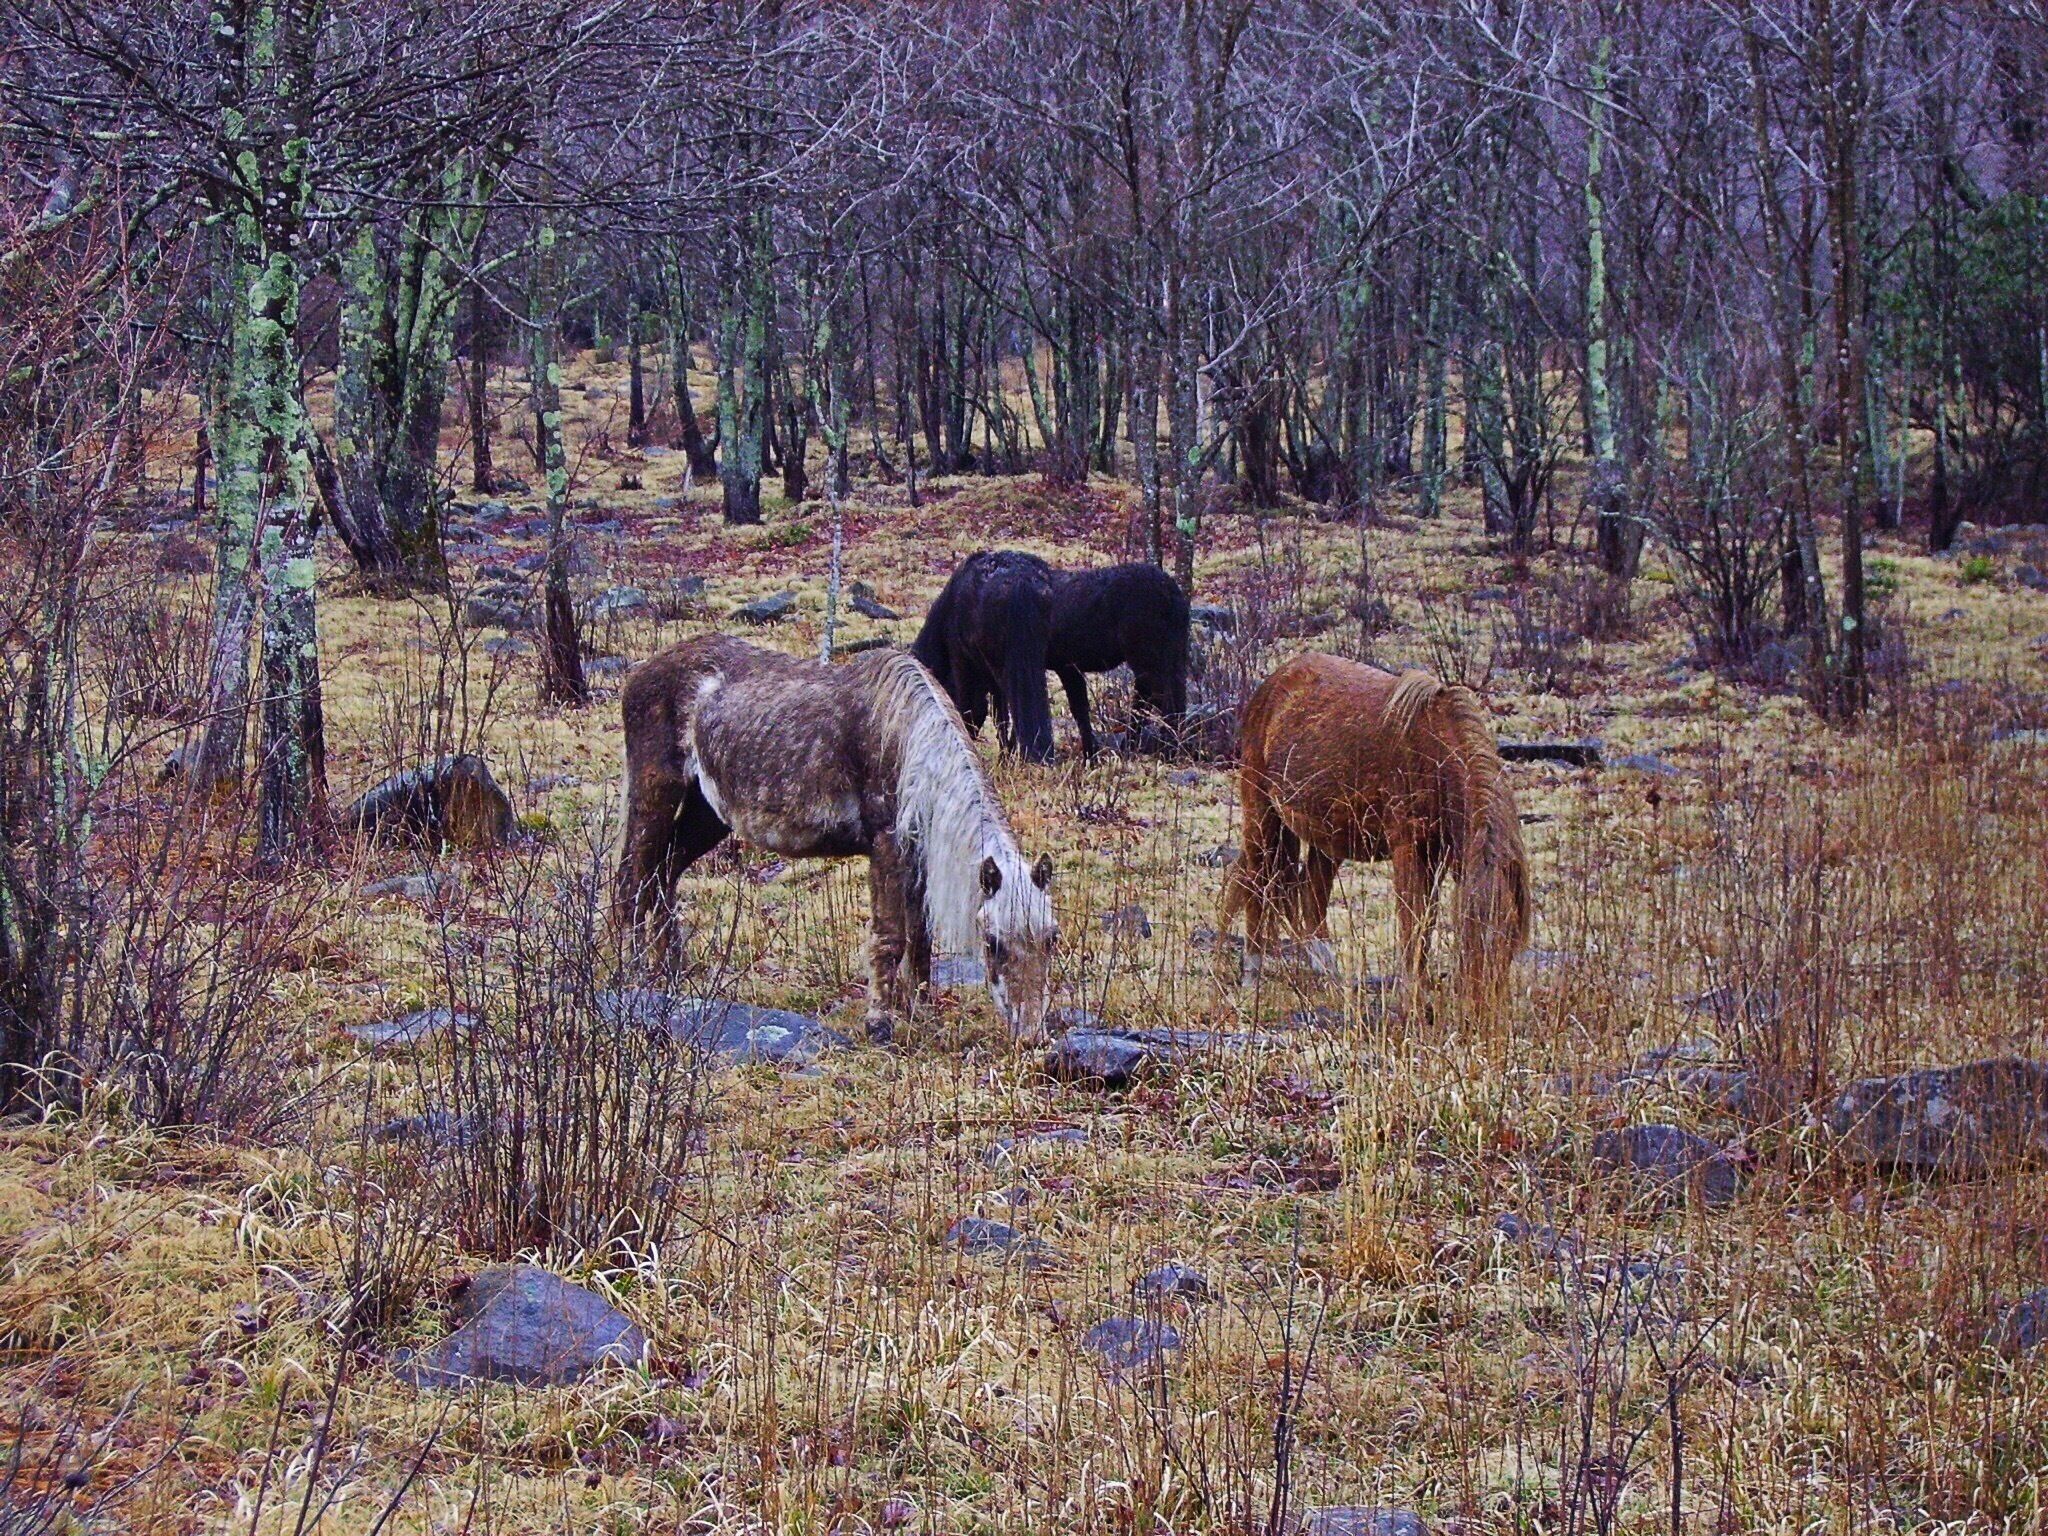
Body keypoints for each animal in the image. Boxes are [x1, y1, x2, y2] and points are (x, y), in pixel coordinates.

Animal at [614, 635, 1059, 1044]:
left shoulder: (916, 855)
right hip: (655, 794)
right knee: (632, 882)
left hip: (707, 812)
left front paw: (920, 1011)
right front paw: (879, 1024)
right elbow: (889, 938)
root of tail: (640, 672)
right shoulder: (886, 846)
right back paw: (635, 974)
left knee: (664, 874)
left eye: (1051, 938)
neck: (911, 747)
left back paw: (673, 972)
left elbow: (921, 939)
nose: (1031, 1035)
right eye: (994, 942)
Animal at [911, 550, 1190, 760]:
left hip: (1147, 658)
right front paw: (1091, 756)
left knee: (1162, 701)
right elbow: (1078, 710)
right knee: (1158, 701)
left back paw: (1167, 749)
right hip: (1169, 657)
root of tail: (1173, 593)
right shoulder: (1067, 666)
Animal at [1217, 653, 1529, 1014]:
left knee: (1309, 897)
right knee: (1258, 884)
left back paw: (1330, 976)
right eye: (1469, 933)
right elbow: (1414, 924)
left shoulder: (1440, 856)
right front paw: (1412, 1001)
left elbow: (1425, 924)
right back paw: (1251, 977)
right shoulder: (1409, 848)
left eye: (1510, 938)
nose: (1481, 1010)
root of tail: (1275, 681)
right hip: (1261, 813)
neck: (1434, 754)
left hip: (1328, 837)